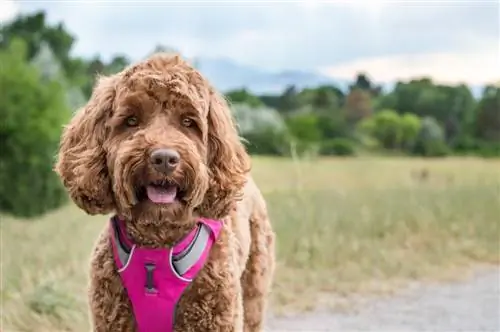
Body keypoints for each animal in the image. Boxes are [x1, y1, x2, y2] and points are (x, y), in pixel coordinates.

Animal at [54, 53, 276, 330]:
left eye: (188, 122)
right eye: (131, 121)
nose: (164, 159)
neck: (157, 243)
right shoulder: (112, 318)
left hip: (254, 287)